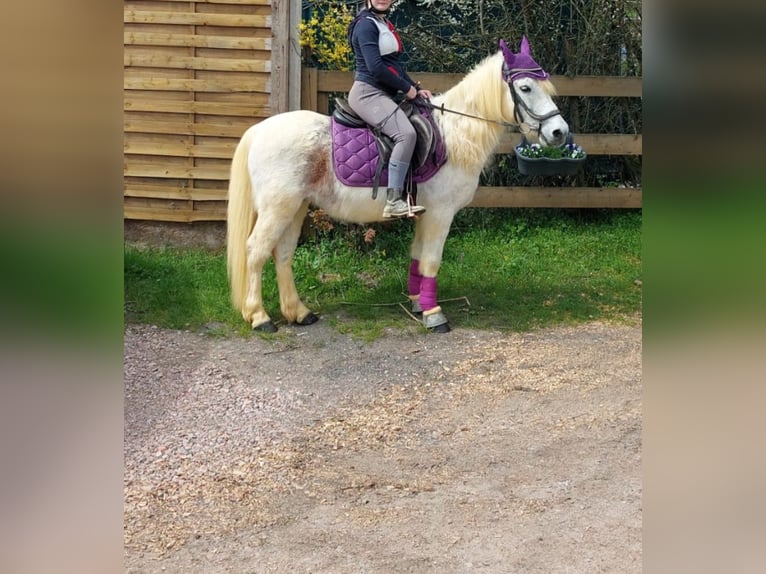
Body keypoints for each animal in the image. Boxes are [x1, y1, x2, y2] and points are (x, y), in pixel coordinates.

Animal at [225, 37, 568, 332]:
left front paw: (417, 302)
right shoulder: (441, 214)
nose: (559, 133)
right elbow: (431, 260)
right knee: (256, 251)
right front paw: (434, 314)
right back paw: (259, 317)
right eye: (525, 87)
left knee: (282, 254)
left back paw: (298, 313)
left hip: (294, 208)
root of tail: (259, 130)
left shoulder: (425, 214)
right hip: (277, 209)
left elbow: (417, 257)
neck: (454, 134)